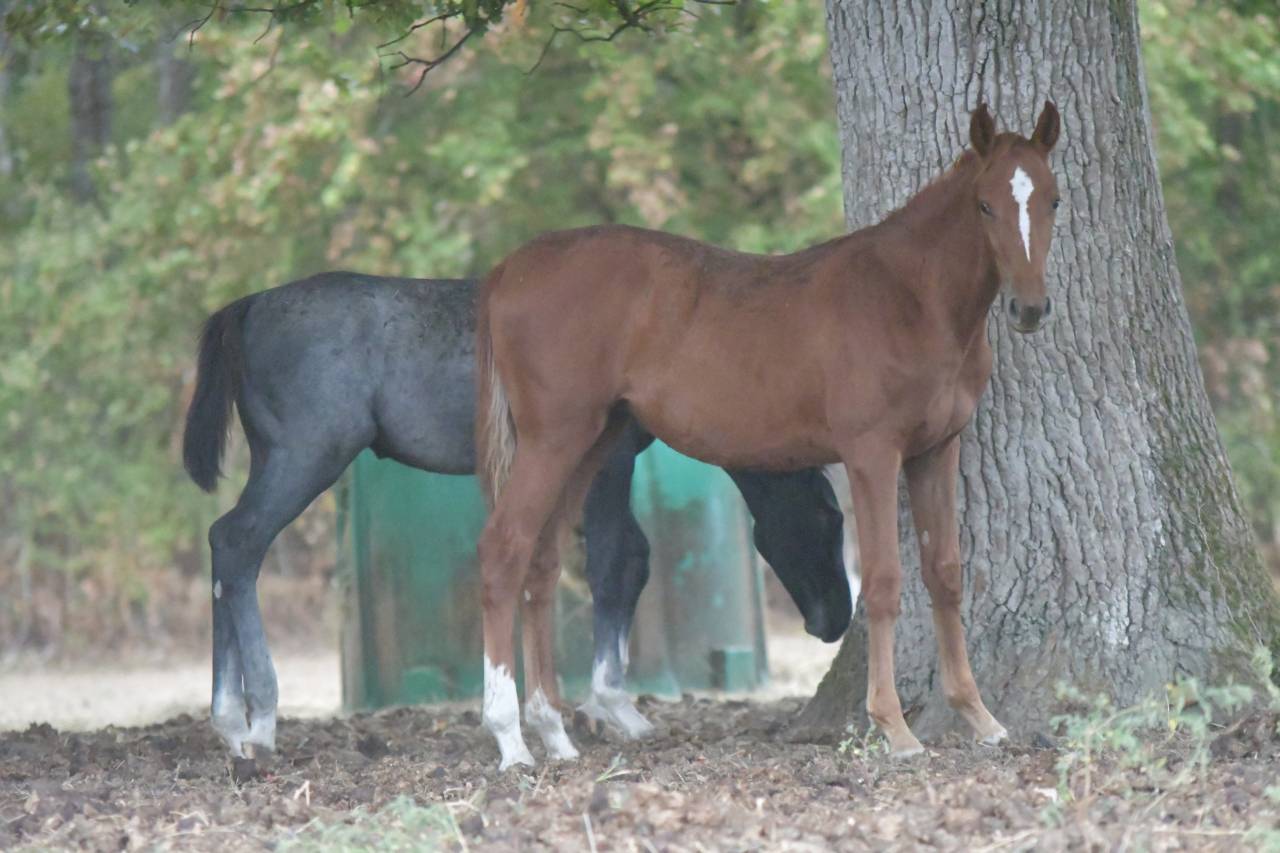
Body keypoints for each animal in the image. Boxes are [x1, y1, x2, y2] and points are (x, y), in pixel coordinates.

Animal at [182, 273, 852, 760]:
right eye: (828, 515)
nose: (836, 620)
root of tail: (247, 306)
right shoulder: (608, 465)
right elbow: (621, 561)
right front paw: (612, 706)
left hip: (278, 461)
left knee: (224, 547)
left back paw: (230, 724)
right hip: (306, 457)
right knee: (239, 544)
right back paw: (260, 720)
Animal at [474, 102, 1061, 768]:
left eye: (1053, 200)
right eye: (985, 205)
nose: (1029, 309)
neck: (909, 297)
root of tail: (510, 269)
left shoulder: (936, 451)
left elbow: (946, 575)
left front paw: (979, 716)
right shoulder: (872, 454)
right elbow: (884, 582)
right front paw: (894, 727)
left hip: (590, 443)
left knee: (541, 563)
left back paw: (553, 731)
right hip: (552, 440)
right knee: (504, 551)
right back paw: (510, 738)